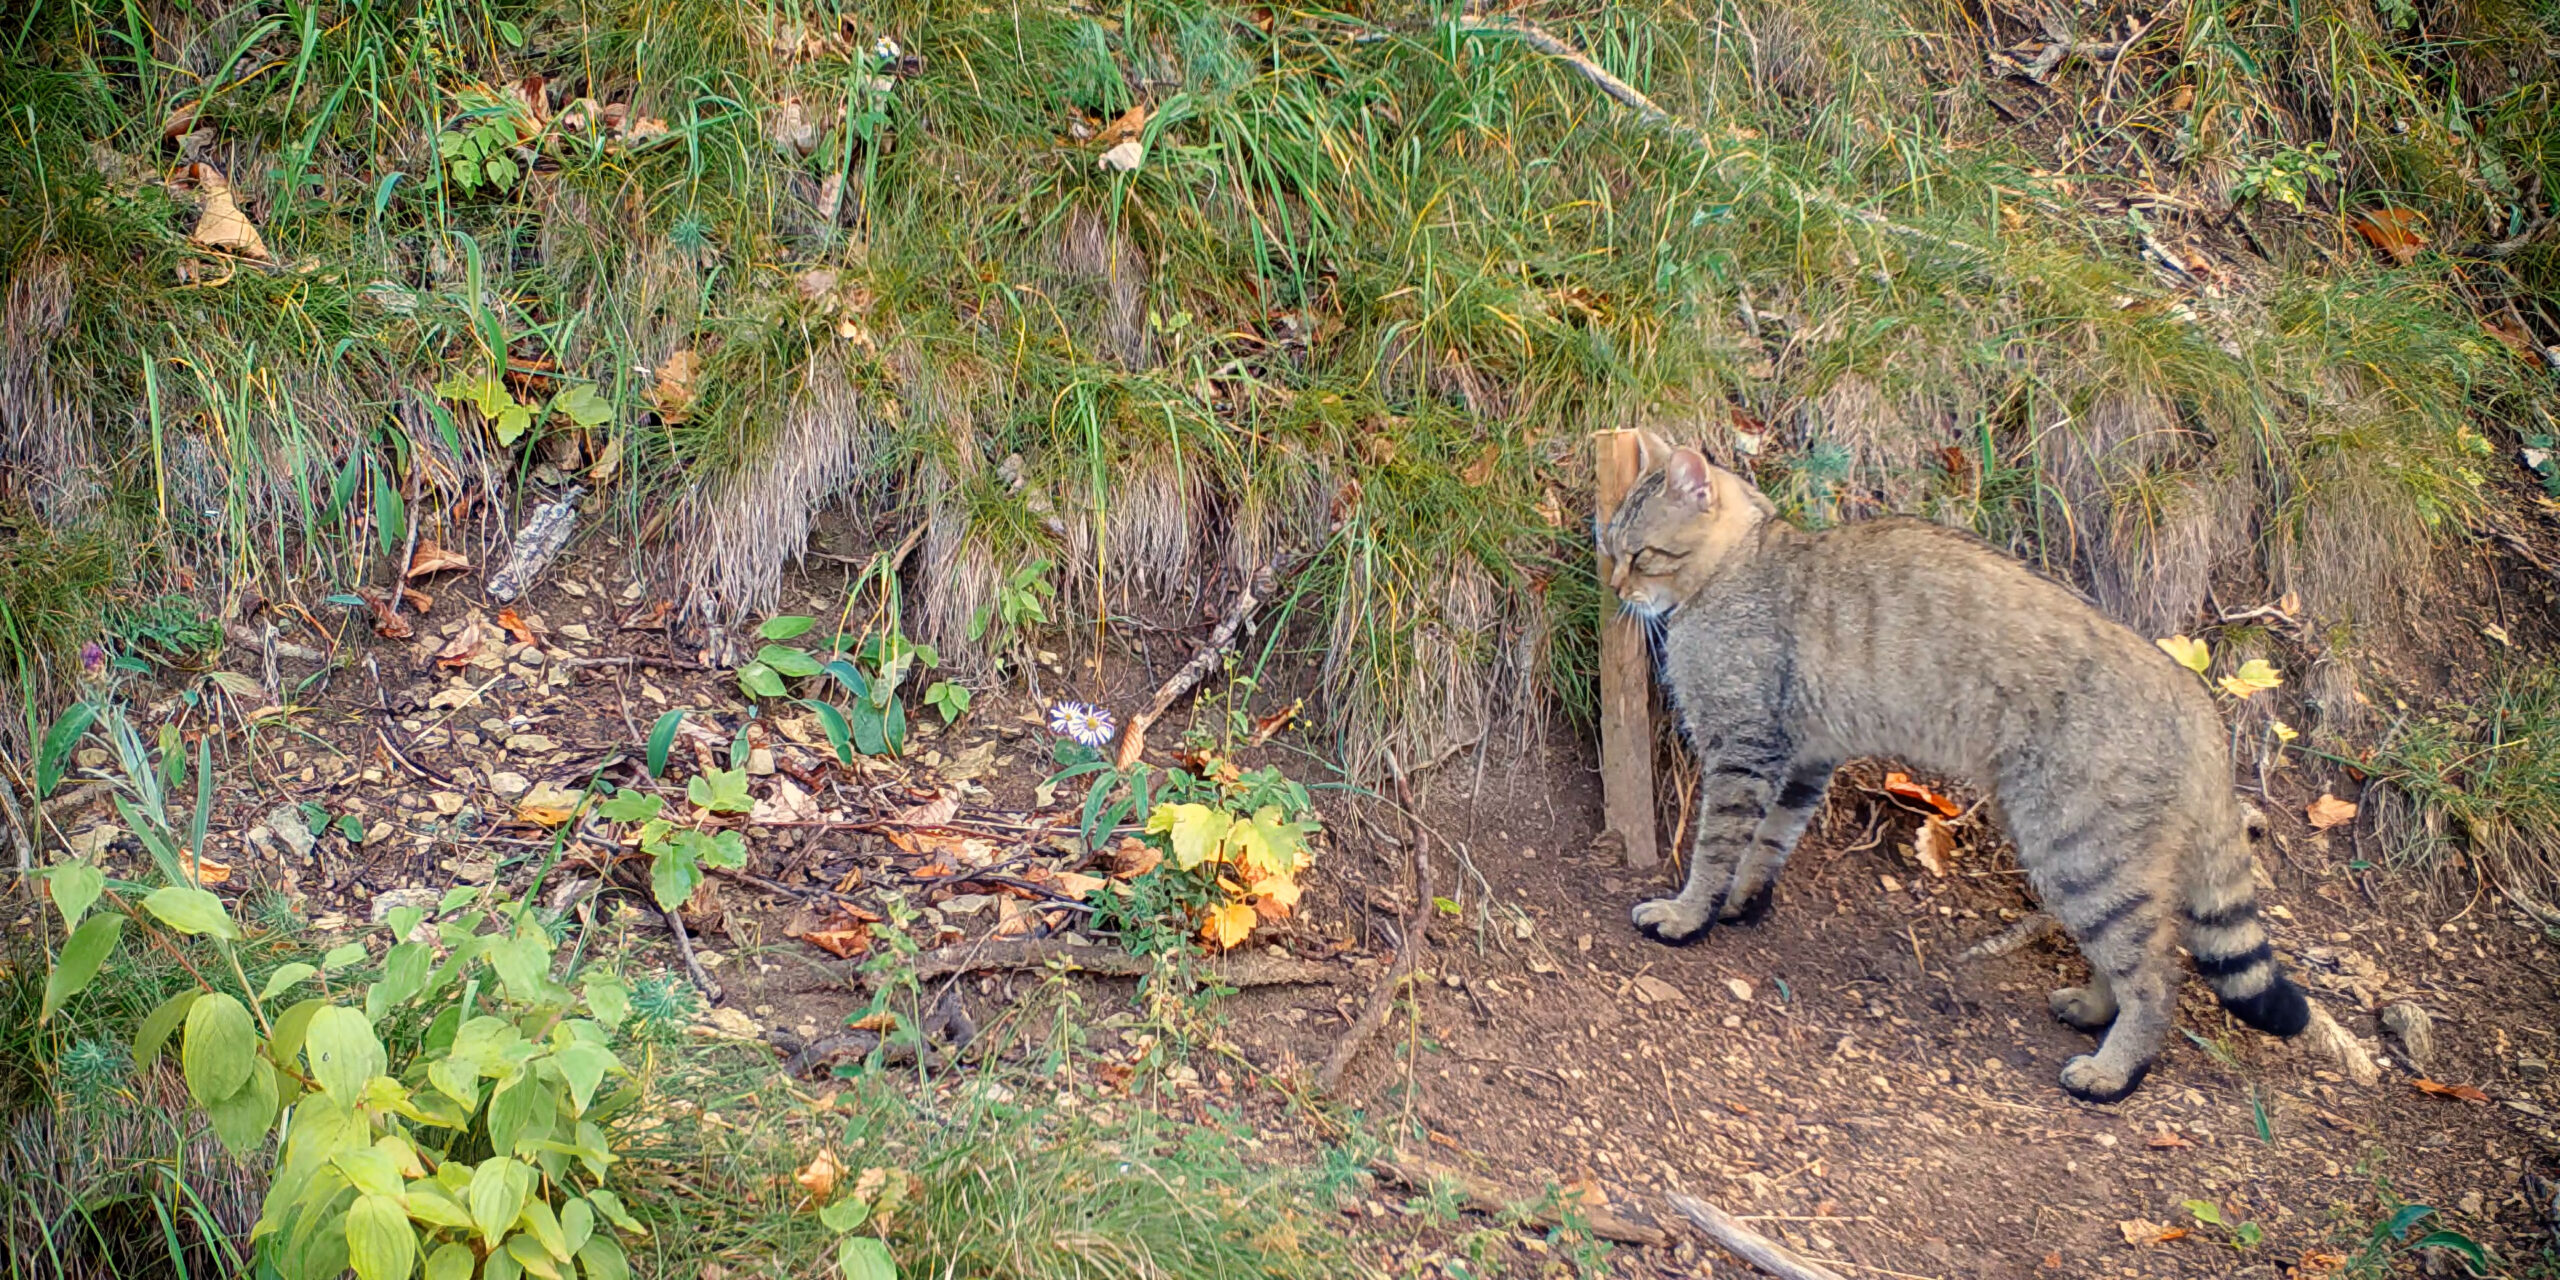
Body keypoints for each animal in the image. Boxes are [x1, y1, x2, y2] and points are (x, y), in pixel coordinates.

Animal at [1587, 432, 2314, 1100]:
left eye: (1639, 553)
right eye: (1612, 548)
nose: (1615, 585)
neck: (1743, 563)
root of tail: (2195, 698)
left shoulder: (1743, 752)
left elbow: (1715, 850)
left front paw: (1689, 913)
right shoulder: (1804, 760)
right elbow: (1768, 844)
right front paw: (1743, 900)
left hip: (2079, 852)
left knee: (2157, 975)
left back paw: (2113, 1070)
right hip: (2079, 857)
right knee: (2130, 955)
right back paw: (2090, 1008)